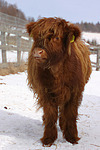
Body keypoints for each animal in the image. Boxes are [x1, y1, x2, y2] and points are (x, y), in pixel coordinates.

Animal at [26, 17, 92, 146]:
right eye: (36, 36)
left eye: (57, 38)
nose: (37, 52)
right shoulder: (45, 91)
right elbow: (50, 114)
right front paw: (48, 138)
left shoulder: (74, 92)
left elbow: (70, 114)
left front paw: (71, 137)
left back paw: (62, 125)